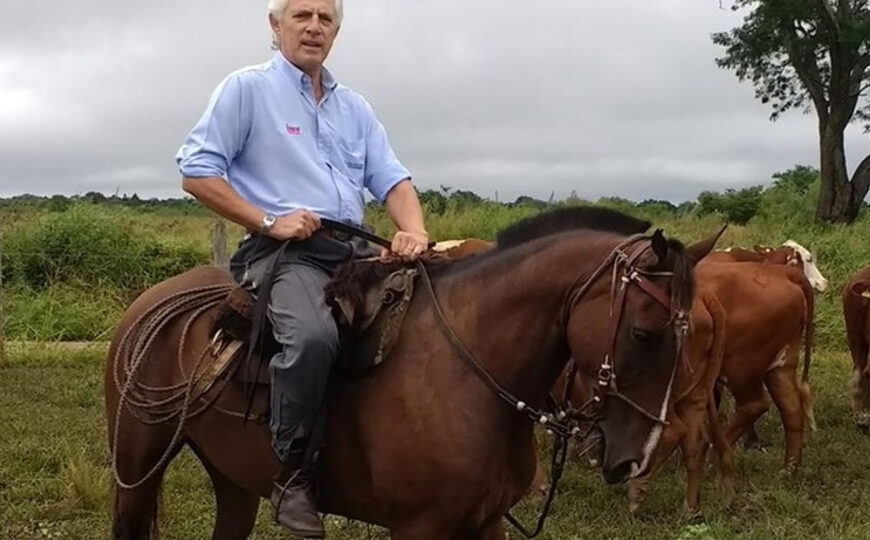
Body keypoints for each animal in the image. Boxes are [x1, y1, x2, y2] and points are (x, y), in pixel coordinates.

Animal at [107, 208, 724, 540]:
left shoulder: (487, 522)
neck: (469, 368)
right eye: (644, 333)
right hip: (134, 472)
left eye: (689, 335)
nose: (633, 458)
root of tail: (153, 301)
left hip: (234, 481)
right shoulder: (418, 527)